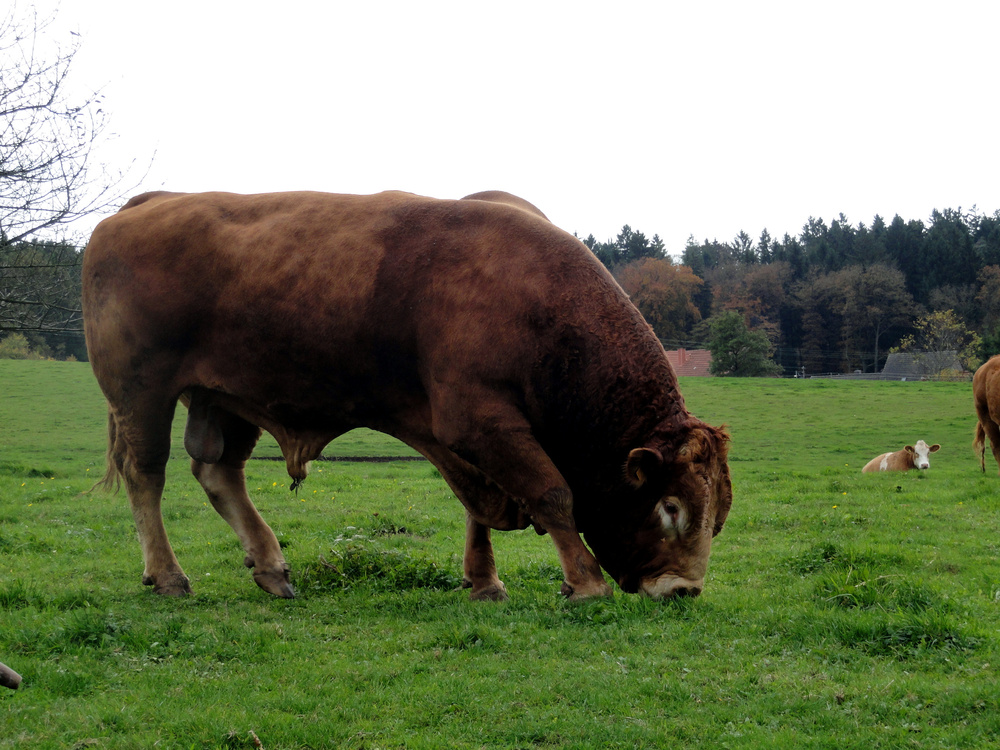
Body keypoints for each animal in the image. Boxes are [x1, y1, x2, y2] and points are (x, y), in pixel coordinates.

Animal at [82, 191, 732, 604]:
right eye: (671, 507)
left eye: (717, 515)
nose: (683, 590)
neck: (539, 305)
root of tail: (146, 204)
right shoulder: (480, 422)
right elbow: (553, 494)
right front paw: (585, 583)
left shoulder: (475, 443)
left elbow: (484, 509)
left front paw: (485, 583)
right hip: (142, 394)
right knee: (147, 475)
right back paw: (168, 576)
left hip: (228, 397)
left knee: (219, 473)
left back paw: (271, 566)